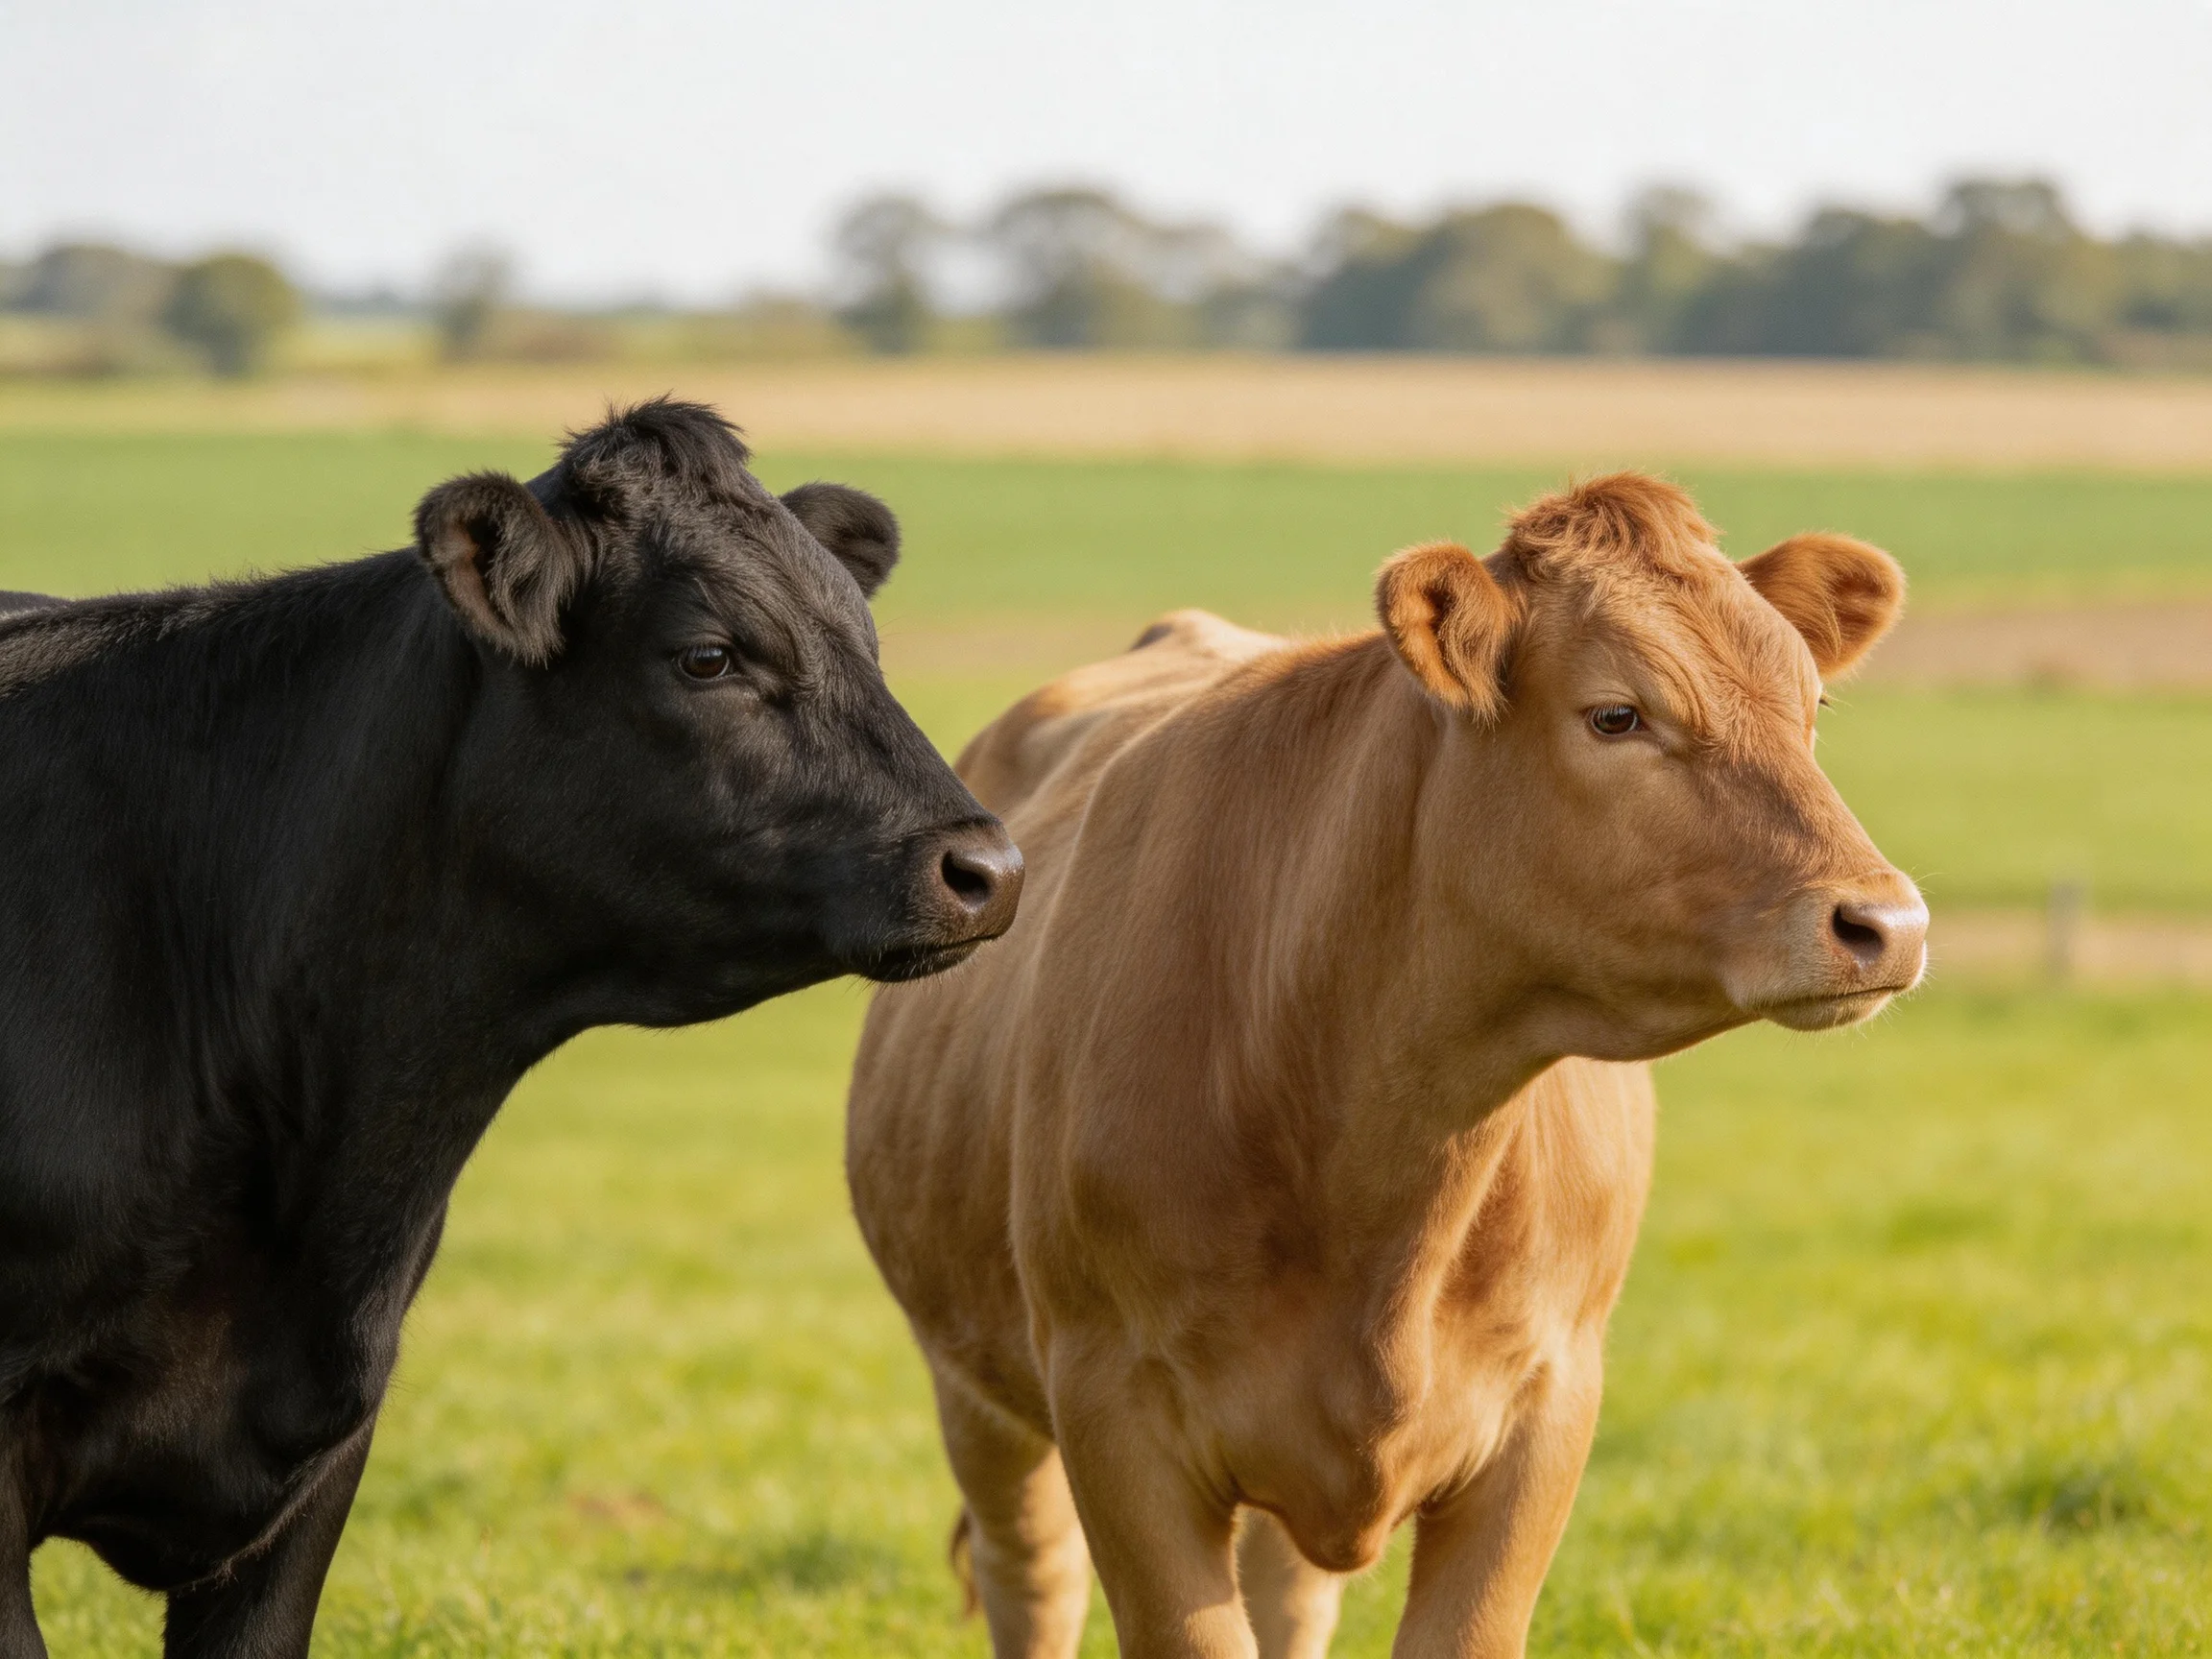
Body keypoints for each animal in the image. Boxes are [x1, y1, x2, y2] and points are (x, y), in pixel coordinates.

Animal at [847, 474, 1926, 1659]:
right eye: (1617, 715)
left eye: (1811, 708)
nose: (1886, 922)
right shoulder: (1112, 1409)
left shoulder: (1550, 1404)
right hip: (976, 1387)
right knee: (1031, 1576)